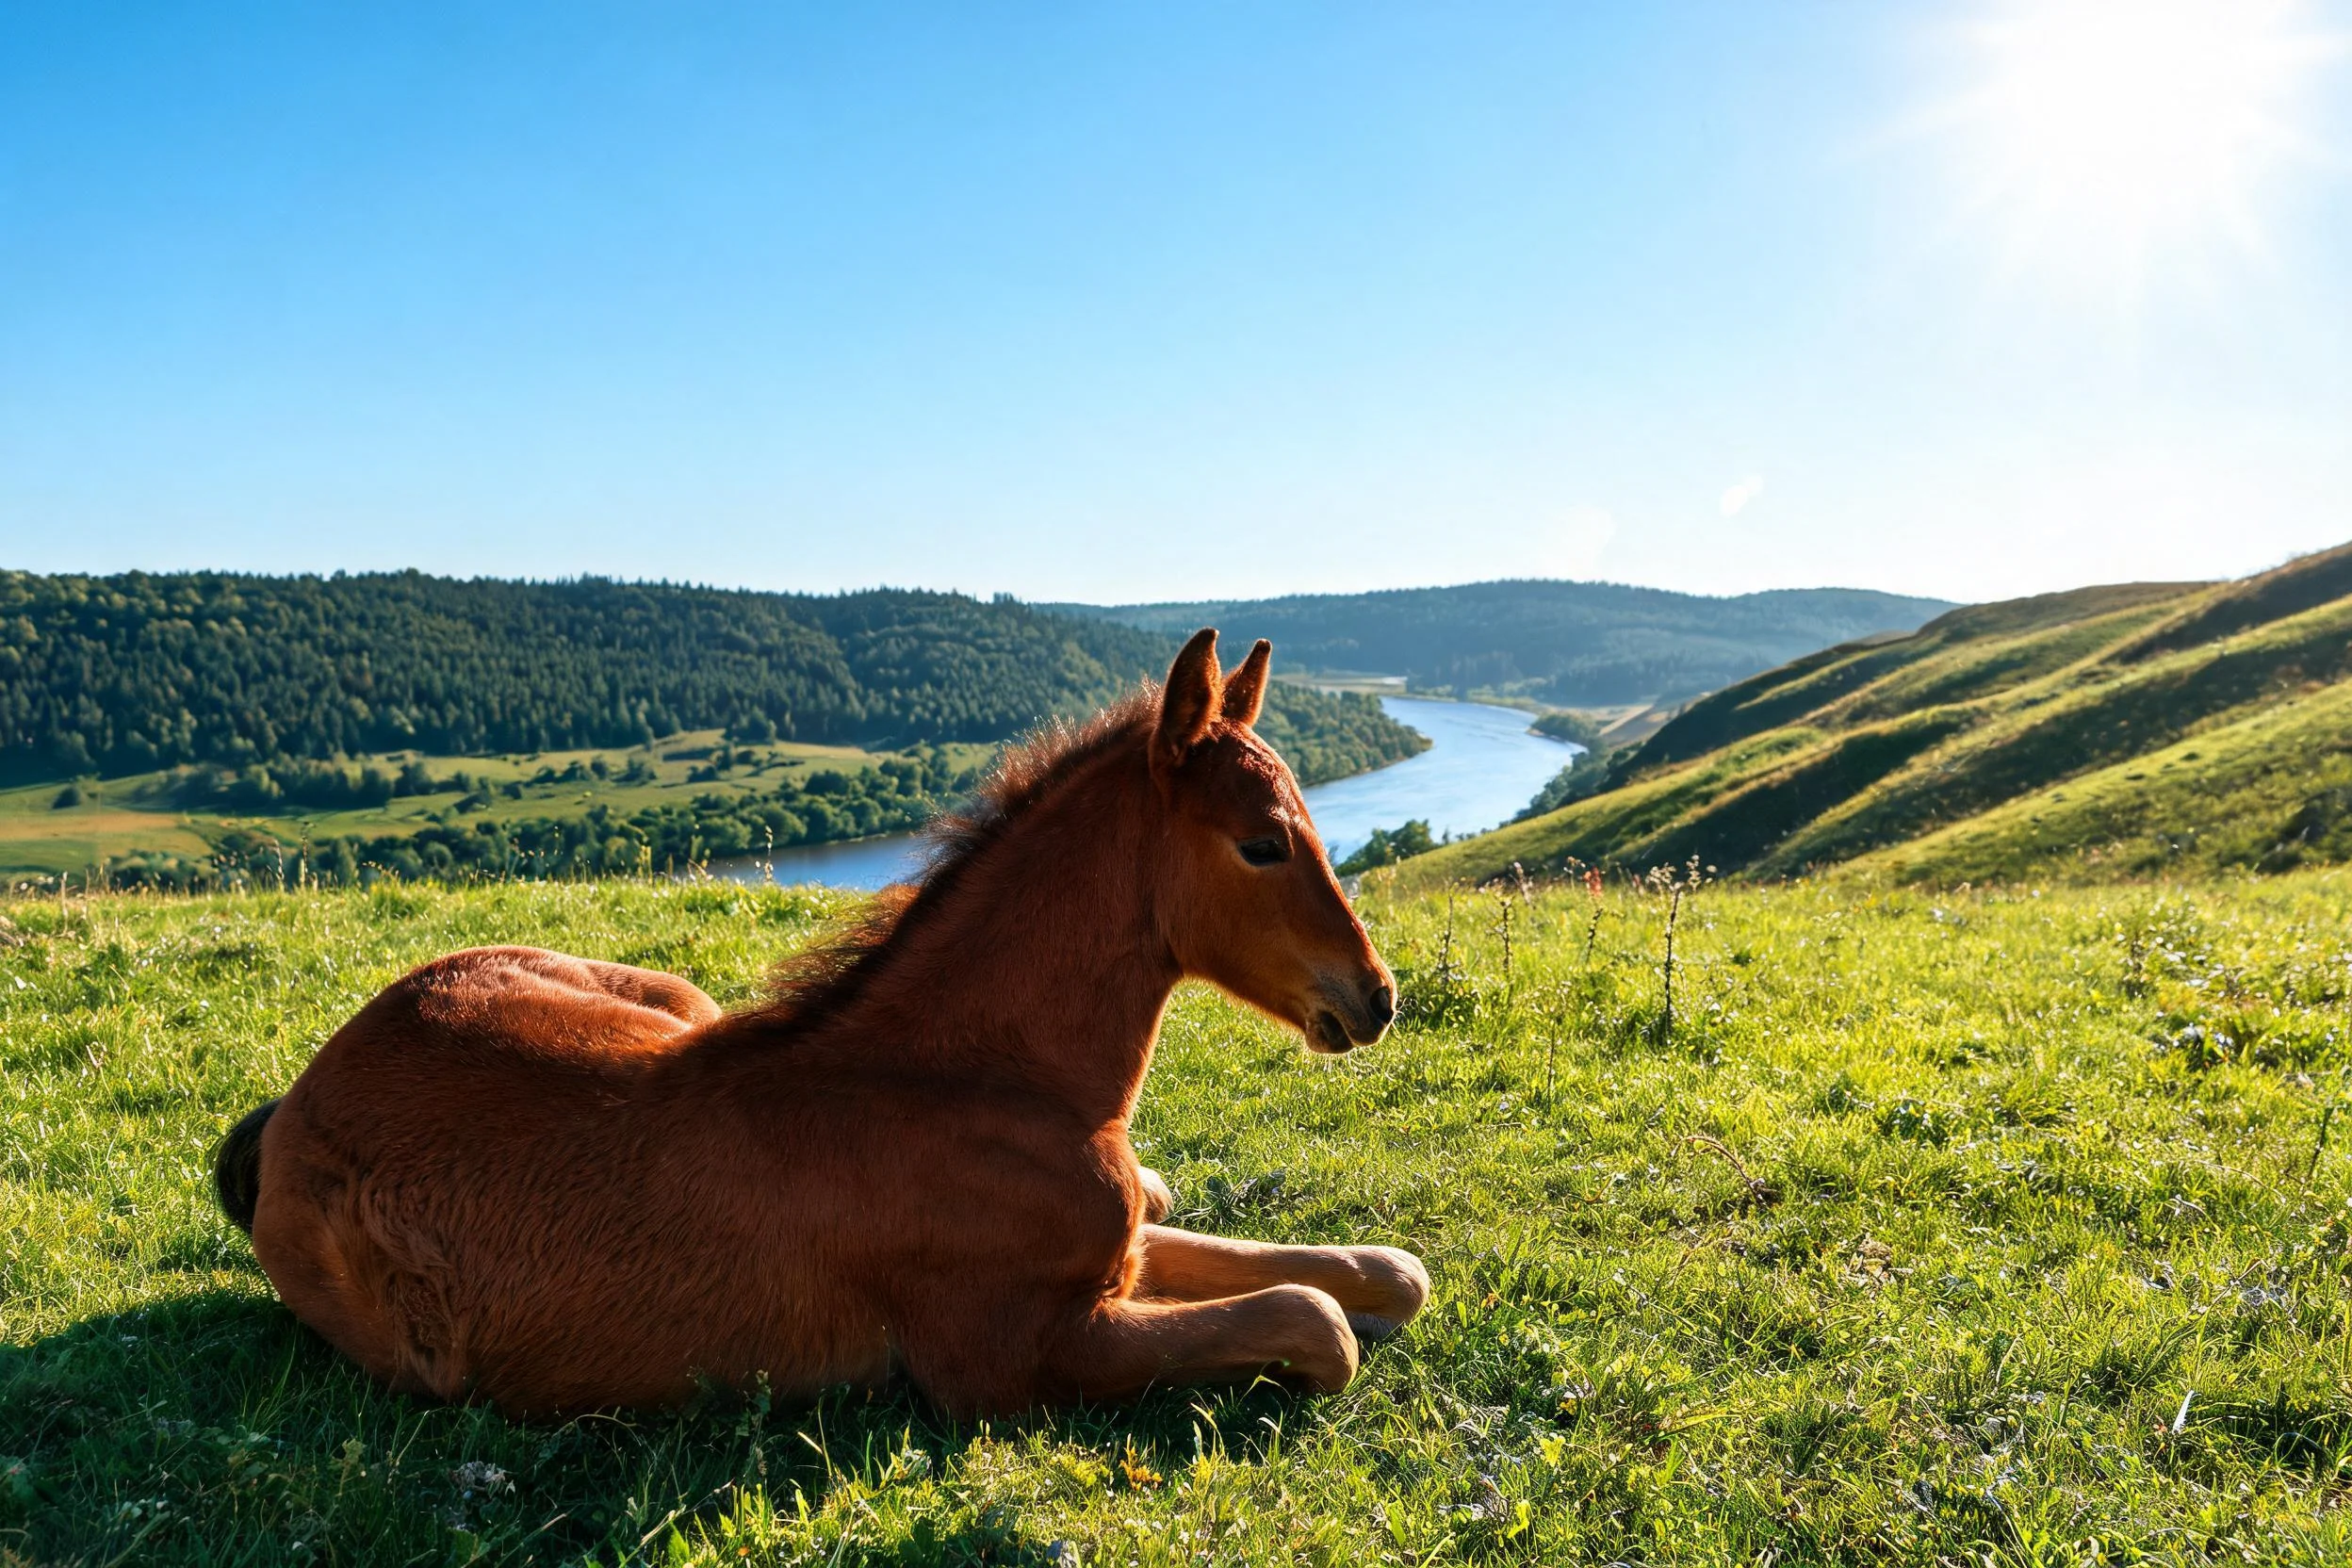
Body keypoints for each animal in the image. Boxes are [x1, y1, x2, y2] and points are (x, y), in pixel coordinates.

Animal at [212, 629, 1428, 1417]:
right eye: (1263, 842)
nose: (1375, 997)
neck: (978, 1086)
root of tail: (296, 1106)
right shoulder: (1016, 1354)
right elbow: (1315, 1316)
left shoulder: (1116, 1257)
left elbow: (1378, 1268)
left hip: (671, 1001)